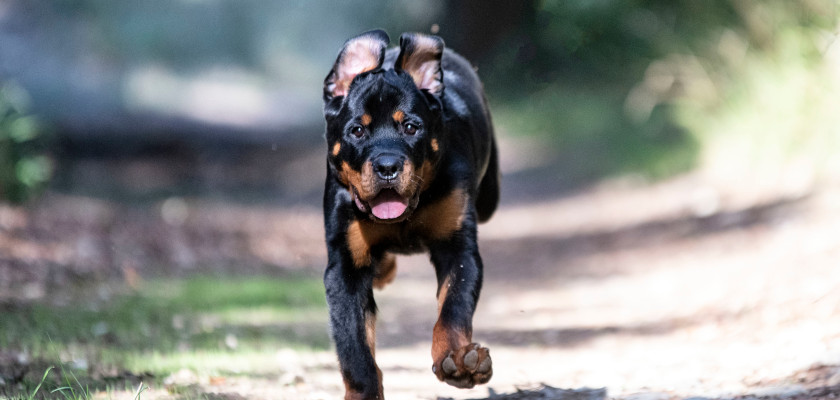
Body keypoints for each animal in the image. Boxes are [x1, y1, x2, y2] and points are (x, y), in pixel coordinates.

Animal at [322, 29, 498, 398]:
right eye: (357, 130)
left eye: (411, 128)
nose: (388, 166)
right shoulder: (344, 265)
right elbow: (354, 345)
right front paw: (364, 391)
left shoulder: (457, 248)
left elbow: (453, 308)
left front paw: (458, 360)